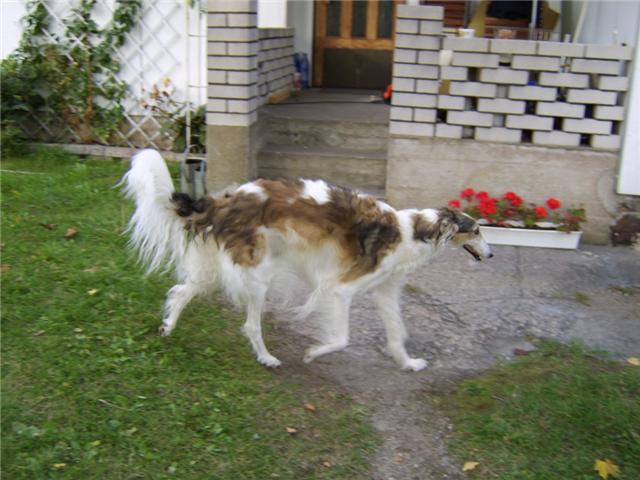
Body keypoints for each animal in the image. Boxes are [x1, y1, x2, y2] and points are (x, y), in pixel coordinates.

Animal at [122, 150, 492, 371]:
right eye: (476, 230)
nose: (491, 254)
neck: (411, 231)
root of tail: (224, 200)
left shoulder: (384, 292)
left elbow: (396, 333)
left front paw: (409, 363)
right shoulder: (340, 290)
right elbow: (341, 338)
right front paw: (315, 352)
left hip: (220, 268)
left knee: (181, 291)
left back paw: (168, 327)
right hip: (257, 277)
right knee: (250, 325)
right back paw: (267, 357)